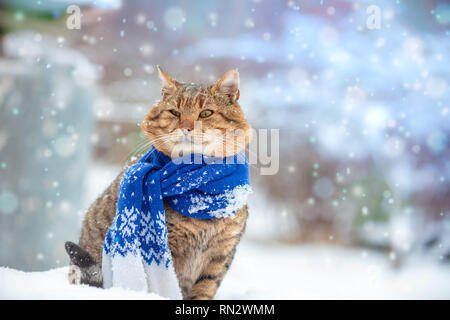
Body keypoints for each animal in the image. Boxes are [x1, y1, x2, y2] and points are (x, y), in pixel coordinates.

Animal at [65, 67, 251, 300]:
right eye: (175, 112)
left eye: (206, 113)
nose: (186, 128)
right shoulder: (169, 250)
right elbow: (169, 286)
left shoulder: (222, 252)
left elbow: (205, 288)